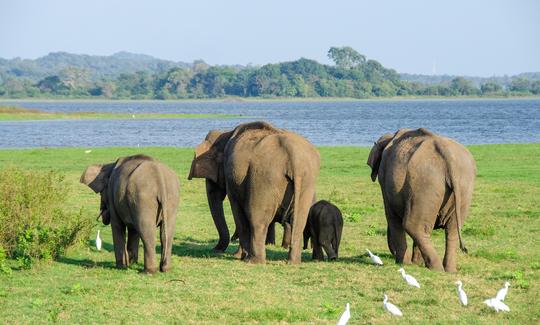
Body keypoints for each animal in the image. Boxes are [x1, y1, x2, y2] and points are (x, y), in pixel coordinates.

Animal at [189, 121, 320, 264]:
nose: (215, 249)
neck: (226, 133)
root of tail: (294, 157)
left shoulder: (232, 178)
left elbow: (237, 211)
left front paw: (239, 256)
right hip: (307, 181)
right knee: (299, 220)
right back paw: (292, 262)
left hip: (263, 179)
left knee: (257, 219)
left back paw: (253, 261)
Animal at [368, 126, 476, 270]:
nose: (391, 253)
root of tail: (447, 154)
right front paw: (415, 263)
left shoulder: (384, 179)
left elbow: (391, 216)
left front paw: (404, 263)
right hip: (463, 185)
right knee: (451, 229)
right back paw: (449, 270)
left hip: (424, 183)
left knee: (413, 225)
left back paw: (436, 268)